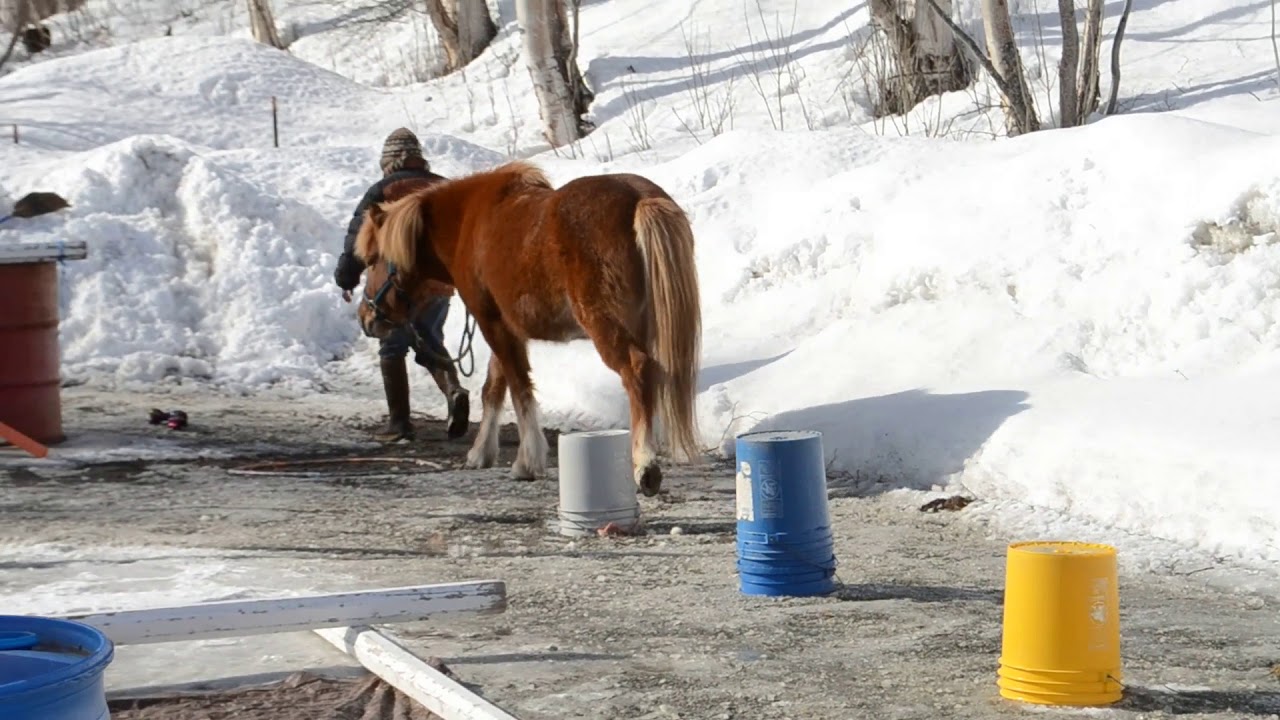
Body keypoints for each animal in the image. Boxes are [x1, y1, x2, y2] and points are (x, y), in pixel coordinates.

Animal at [352, 160, 703, 496]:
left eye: (372, 260)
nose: (367, 318)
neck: (467, 224)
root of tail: (638, 199)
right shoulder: (506, 327)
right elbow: (493, 388)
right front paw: (481, 453)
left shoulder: (492, 323)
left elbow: (519, 388)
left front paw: (528, 461)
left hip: (604, 325)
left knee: (637, 371)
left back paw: (645, 467)